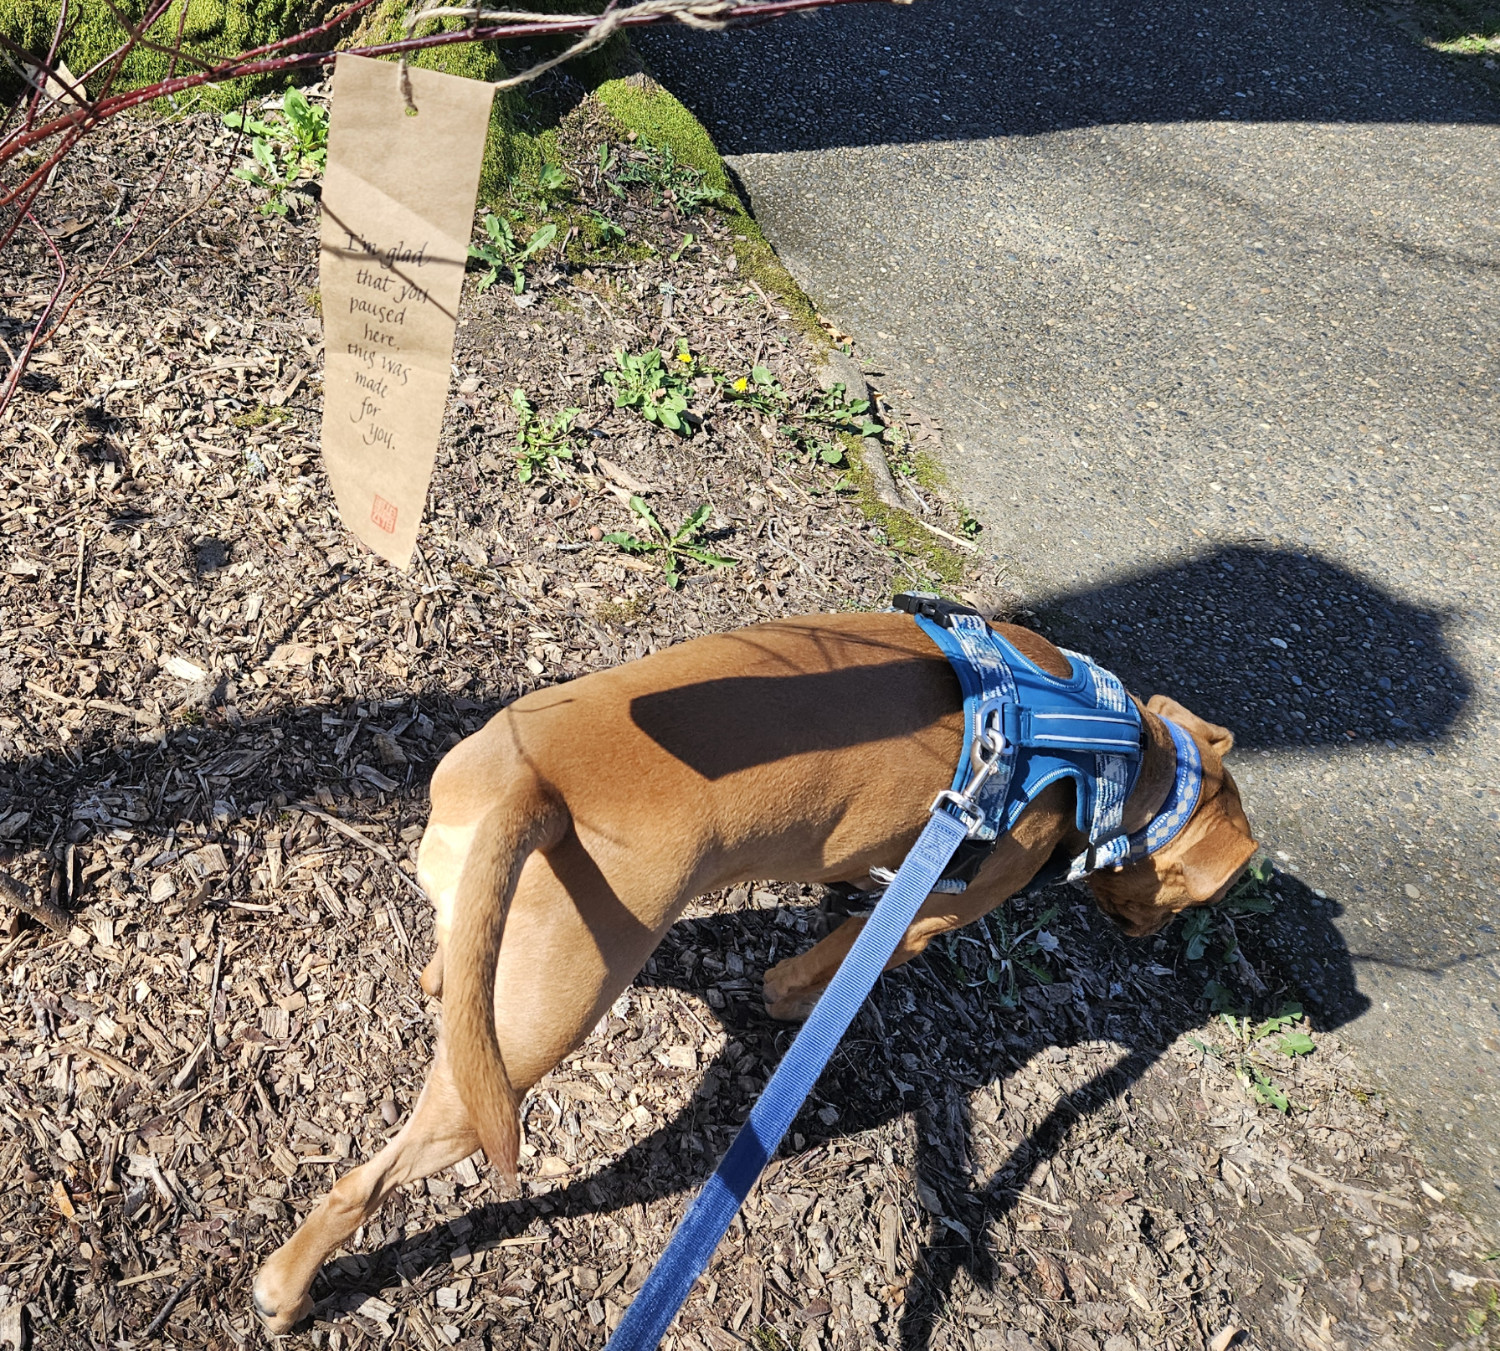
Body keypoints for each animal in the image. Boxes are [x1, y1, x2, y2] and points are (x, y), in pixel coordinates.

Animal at [249, 614, 1254, 1325]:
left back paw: (437, 978)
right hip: (521, 1056)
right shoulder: (925, 916)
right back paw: (287, 1286)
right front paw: (792, 998)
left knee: (456, 977)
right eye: (1191, 897)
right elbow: (824, 967)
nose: (1150, 932)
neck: (1114, 751)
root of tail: (543, 787)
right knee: (362, 1182)